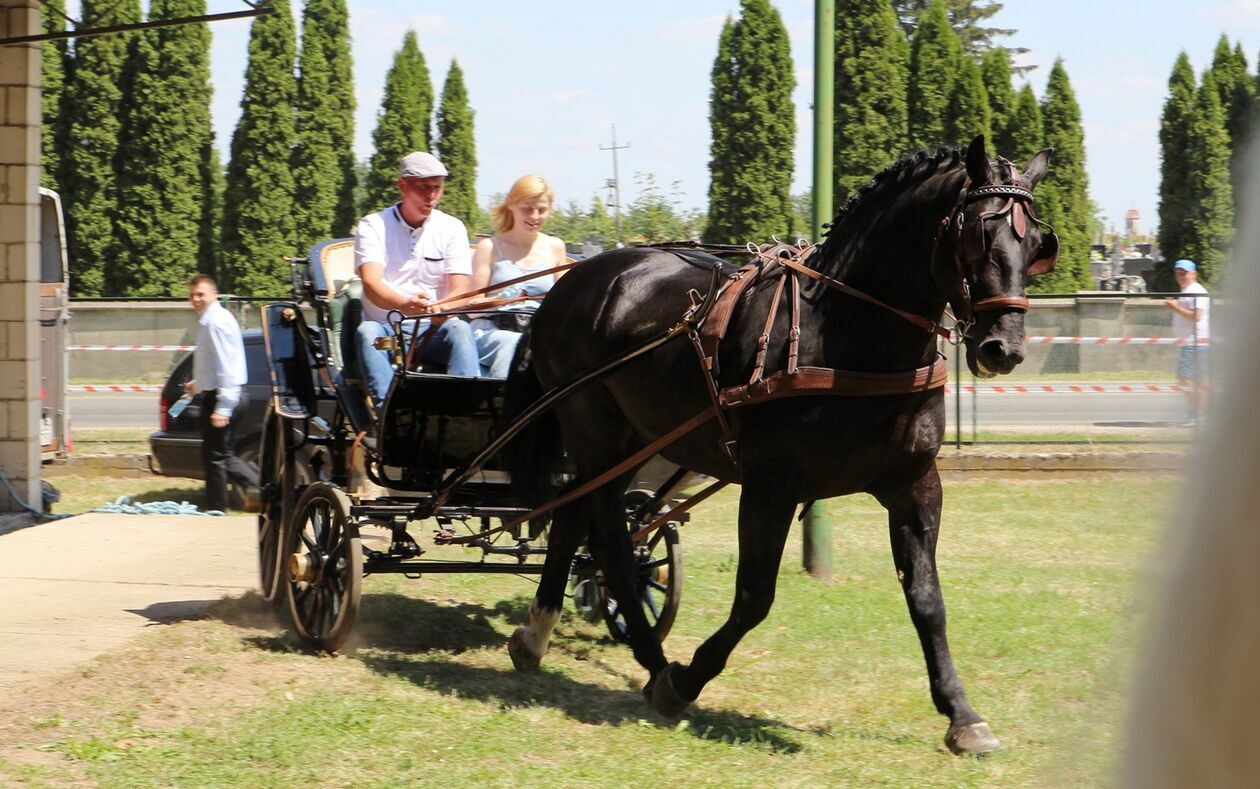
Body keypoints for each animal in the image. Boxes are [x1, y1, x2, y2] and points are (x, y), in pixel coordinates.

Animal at [501, 138, 1053, 751]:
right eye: (979, 232)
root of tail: (570, 282)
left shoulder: (914, 485)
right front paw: (686, 681)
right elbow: (754, 596)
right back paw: (653, 662)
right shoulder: (770, 486)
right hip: (596, 431)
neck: (846, 330)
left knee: (577, 515)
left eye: (1036, 244)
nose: (1003, 348)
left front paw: (962, 714)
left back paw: (540, 634)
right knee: (606, 537)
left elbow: (927, 599)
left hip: (633, 441)